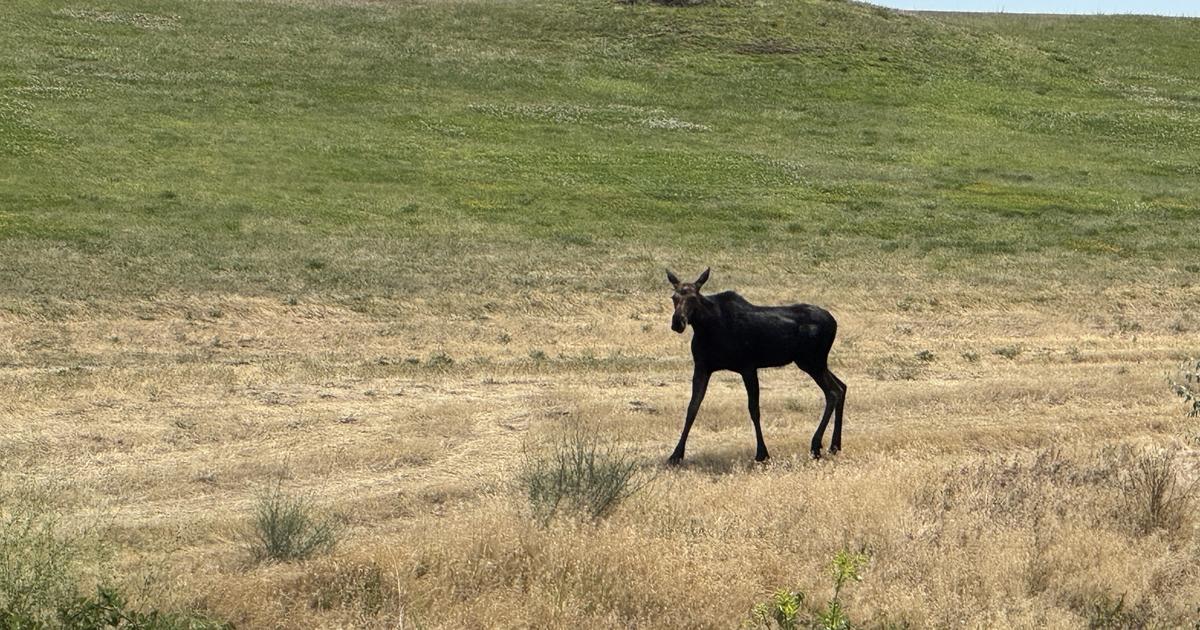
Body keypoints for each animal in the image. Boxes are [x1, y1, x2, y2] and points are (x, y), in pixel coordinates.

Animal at [665, 268, 846, 463]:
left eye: (693, 298)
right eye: (674, 297)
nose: (678, 322)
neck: (707, 328)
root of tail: (834, 322)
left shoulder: (748, 367)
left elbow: (754, 409)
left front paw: (762, 453)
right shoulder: (702, 367)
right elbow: (692, 408)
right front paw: (675, 454)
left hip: (812, 362)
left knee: (833, 392)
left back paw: (816, 445)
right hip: (815, 362)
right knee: (842, 386)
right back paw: (834, 445)